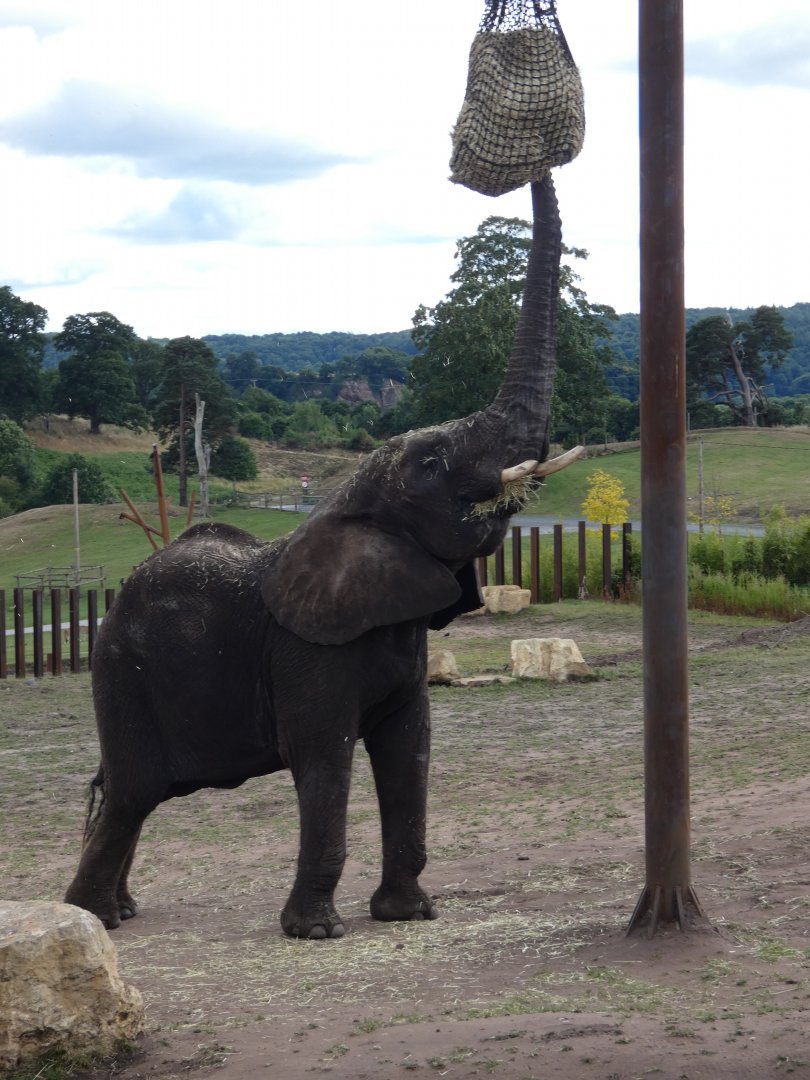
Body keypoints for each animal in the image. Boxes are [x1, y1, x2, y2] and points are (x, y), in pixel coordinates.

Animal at [64, 175, 581, 939]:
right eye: (432, 463)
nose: (538, 170)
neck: (347, 506)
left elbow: (410, 750)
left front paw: (407, 915)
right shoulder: (305, 650)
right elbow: (324, 757)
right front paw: (317, 931)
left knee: (132, 796)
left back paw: (120, 912)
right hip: (120, 674)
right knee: (133, 791)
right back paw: (92, 918)